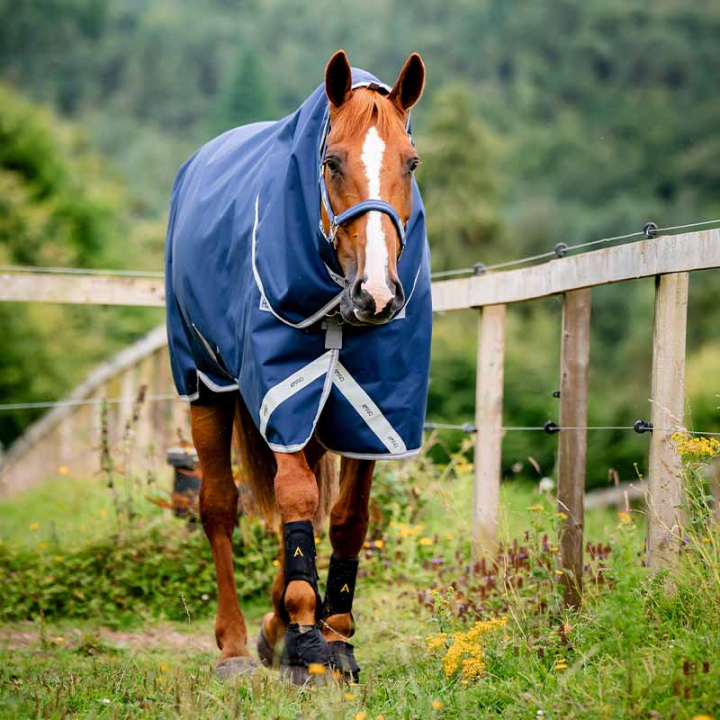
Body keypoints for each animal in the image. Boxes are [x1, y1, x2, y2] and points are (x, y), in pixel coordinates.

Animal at [165, 50, 430, 683]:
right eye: (331, 162)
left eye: (411, 163)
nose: (377, 294)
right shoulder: (282, 394)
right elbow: (293, 499)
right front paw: (308, 634)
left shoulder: (373, 411)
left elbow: (347, 516)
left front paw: (334, 633)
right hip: (207, 386)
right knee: (218, 506)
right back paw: (236, 645)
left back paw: (273, 626)